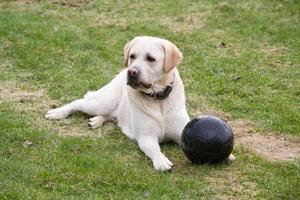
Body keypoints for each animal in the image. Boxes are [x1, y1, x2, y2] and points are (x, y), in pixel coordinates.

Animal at [46, 36, 234, 170]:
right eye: (132, 56)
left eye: (151, 58)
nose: (131, 71)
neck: (158, 99)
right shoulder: (146, 136)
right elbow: (155, 149)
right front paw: (161, 161)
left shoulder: (181, 131)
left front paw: (227, 155)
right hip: (103, 102)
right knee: (79, 102)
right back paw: (58, 113)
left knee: (112, 116)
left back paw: (98, 120)